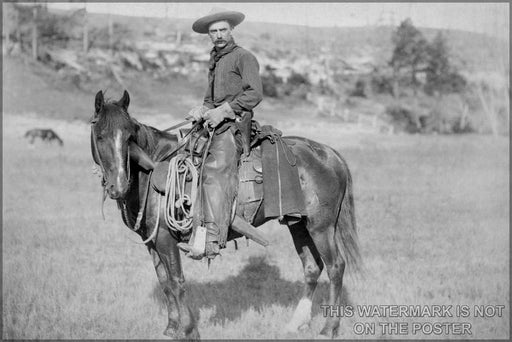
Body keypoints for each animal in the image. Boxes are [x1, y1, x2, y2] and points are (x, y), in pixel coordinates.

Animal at [90, 91, 362, 340]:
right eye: (100, 136)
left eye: (128, 137)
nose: (118, 186)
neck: (152, 168)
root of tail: (329, 153)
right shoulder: (153, 241)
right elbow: (165, 283)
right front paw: (171, 328)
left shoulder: (166, 239)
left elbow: (177, 282)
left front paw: (188, 330)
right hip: (298, 224)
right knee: (312, 267)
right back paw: (296, 324)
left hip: (321, 227)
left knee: (335, 267)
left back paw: (329, 328)